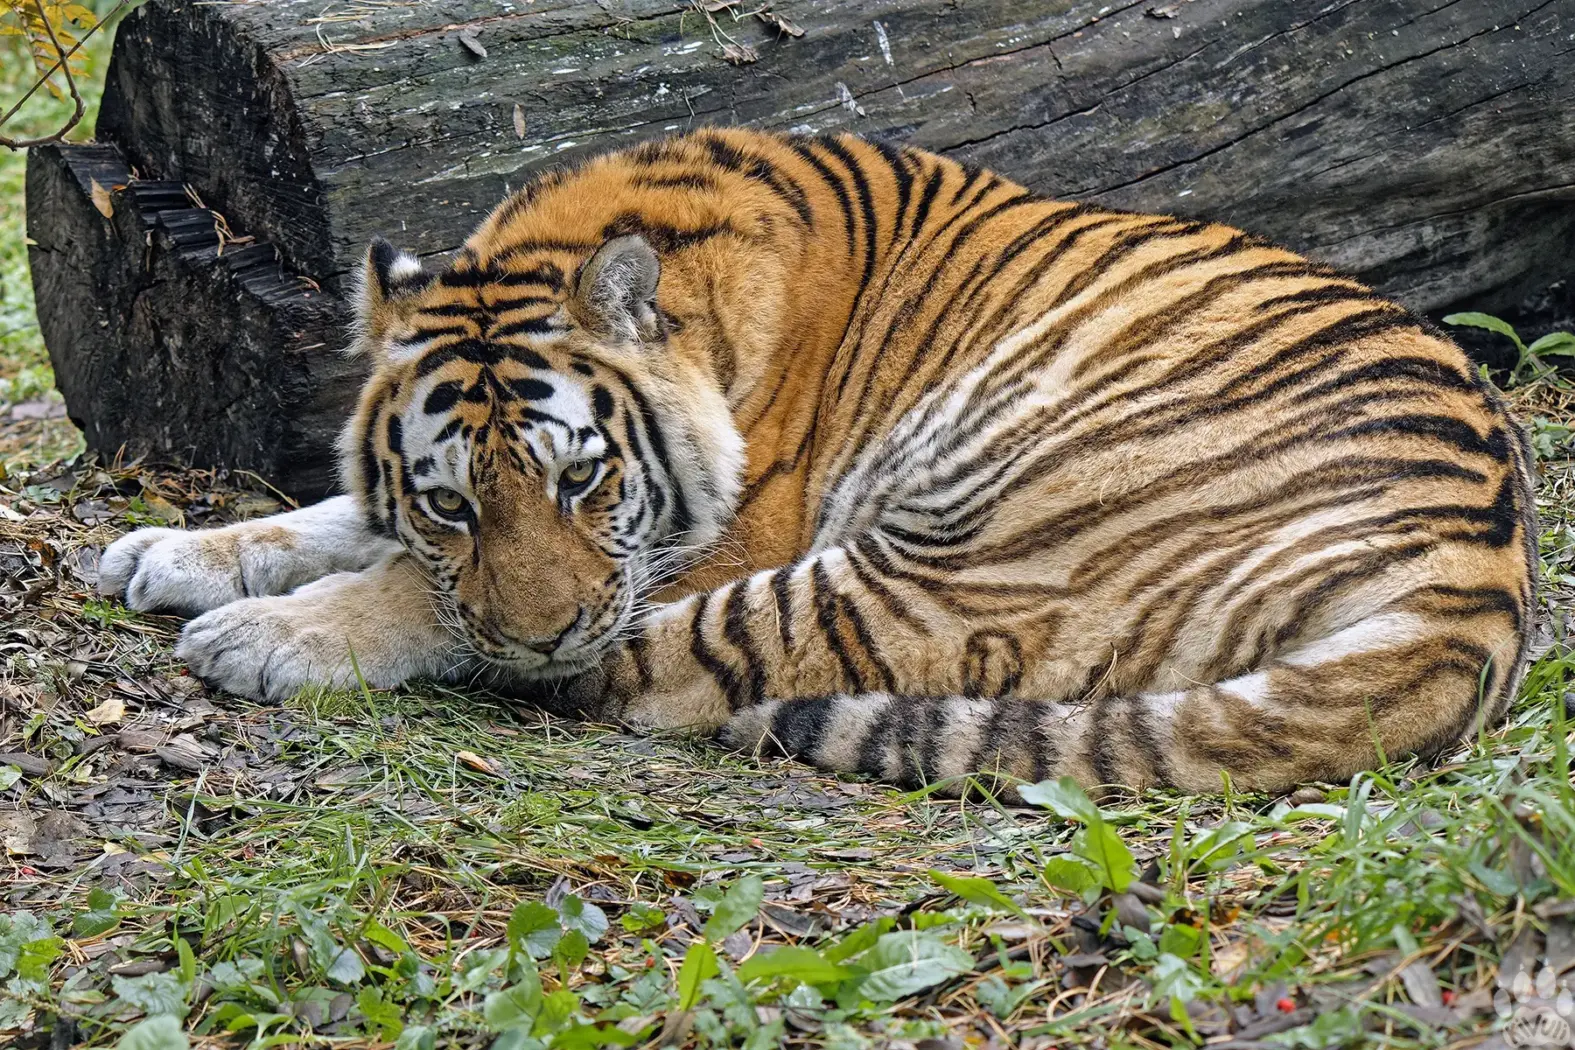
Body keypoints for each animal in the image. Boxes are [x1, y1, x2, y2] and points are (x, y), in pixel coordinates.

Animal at [99, 128, 1537, 799]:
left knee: (677, 666)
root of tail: (1482, 576)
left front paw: (265, 634)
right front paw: (173, 550)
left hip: (962, 546)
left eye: (581, 481)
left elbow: (410, 589)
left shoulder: (703, 537)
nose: (535, 628)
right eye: (452, 498)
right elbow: (352, 517)